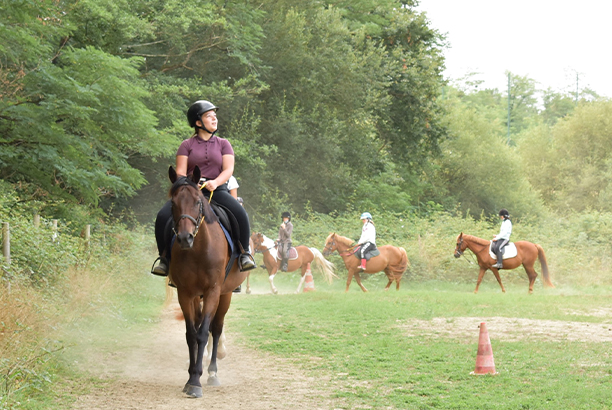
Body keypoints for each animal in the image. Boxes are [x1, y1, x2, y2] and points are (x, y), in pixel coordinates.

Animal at [166, 166, 247, 398]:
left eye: (197, 202)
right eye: (173, 203)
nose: (184, 238)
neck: (198, 250)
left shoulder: (213, 291)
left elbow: (204, 333)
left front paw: (196, 381)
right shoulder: (185, 293)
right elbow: (191, 334)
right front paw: (191, 377)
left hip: (225, 294)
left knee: (216, 328)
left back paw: (212, 373)